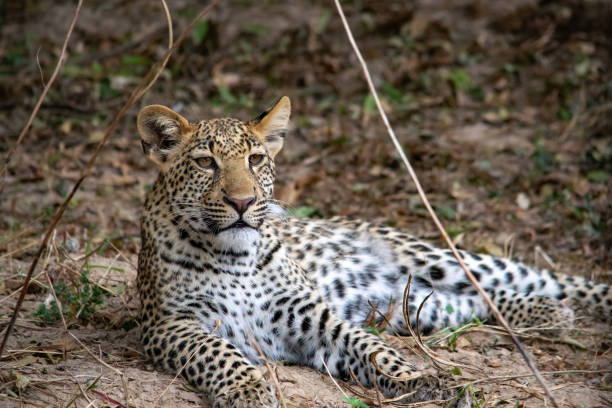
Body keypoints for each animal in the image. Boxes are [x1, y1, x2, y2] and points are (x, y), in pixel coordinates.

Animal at [136, 97, 608, 406]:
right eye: (205, 163)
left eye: (255, 159)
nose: (242, 202)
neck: (234, 258)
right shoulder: (169, 325)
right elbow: (219, 354)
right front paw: (248, 390)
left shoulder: (312, 314)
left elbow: (371, 349)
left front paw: (419, 379)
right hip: (409, 305)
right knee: (472, 301)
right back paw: (549, 314)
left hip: (435, 259)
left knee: (520, 280)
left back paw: (566, 307)